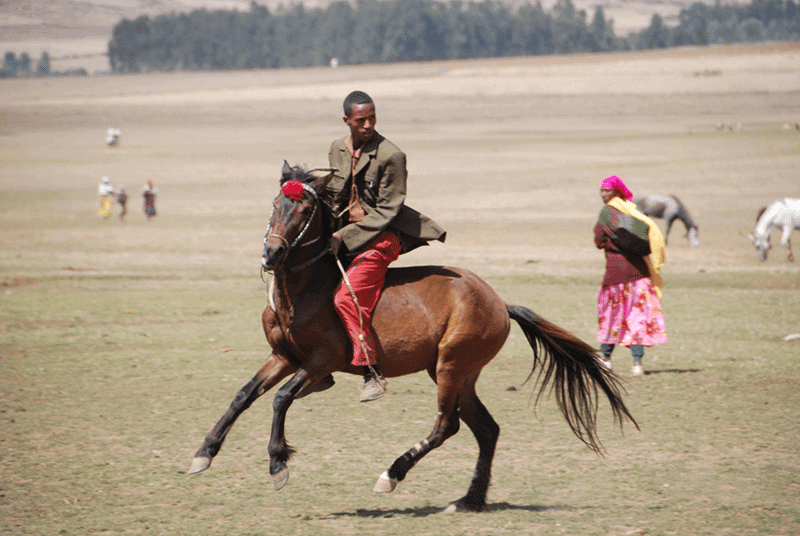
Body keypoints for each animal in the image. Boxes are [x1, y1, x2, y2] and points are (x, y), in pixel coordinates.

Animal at [189, 164, 636, 516]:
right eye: (274, 205)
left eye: (303, 210)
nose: (272, 254)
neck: (303, 290)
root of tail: (498, 301)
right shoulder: (282, 357)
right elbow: (243, 396)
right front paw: (203, 453)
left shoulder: (319, 363)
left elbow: (281, 399)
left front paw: (278, 463)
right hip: (458, 373)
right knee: (486, 429)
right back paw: (470, 500)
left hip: (450, 366)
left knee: (445, 426)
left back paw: (392, 474)